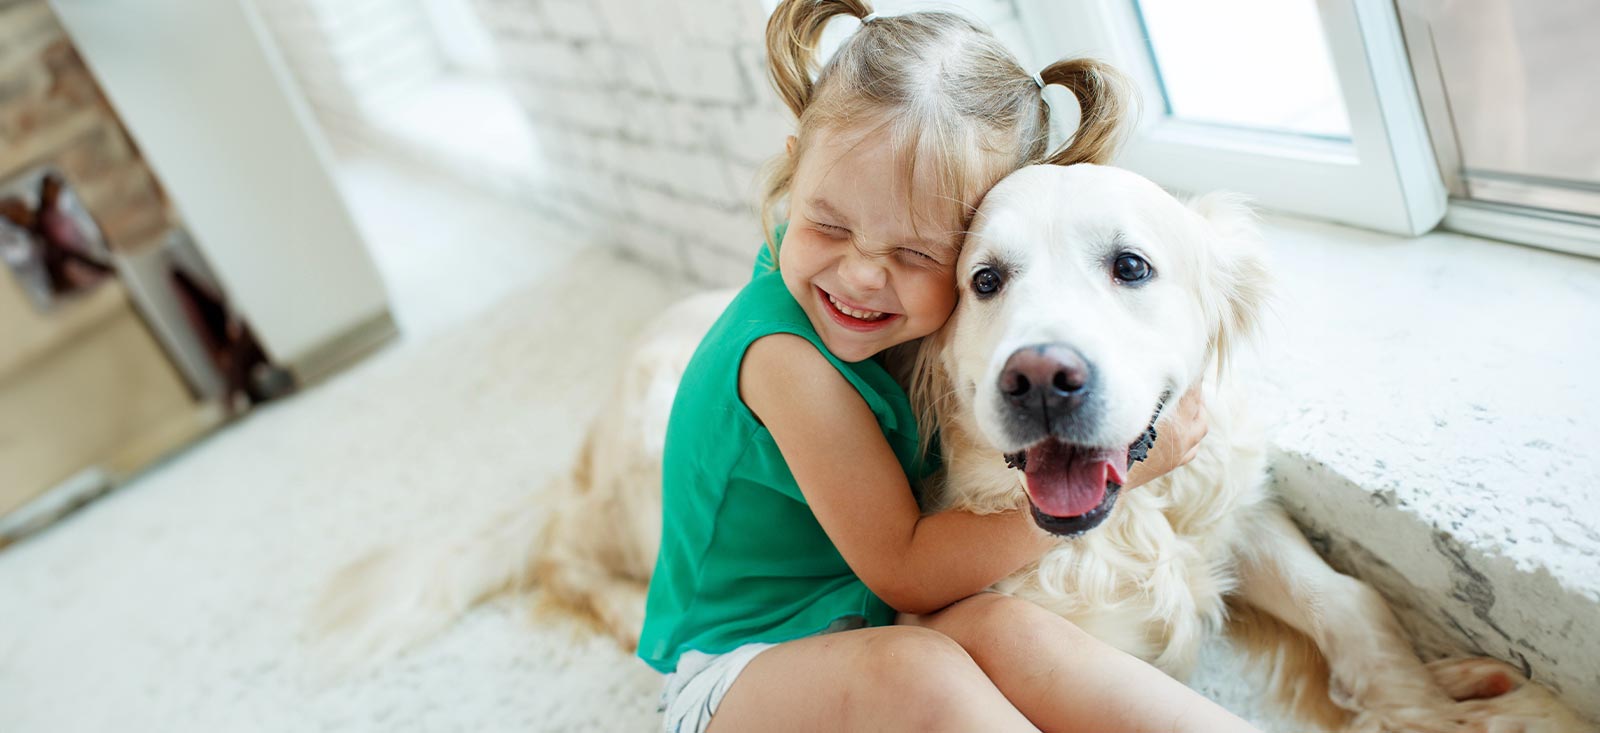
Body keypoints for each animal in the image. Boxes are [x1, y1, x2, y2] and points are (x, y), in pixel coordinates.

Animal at [315, 166, 1587, 733]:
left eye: (1131, 266)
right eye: (985, 280)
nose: (1042, 378)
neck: (1108, 533)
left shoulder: (1215, 499)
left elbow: (1345, 600)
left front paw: (1442, 705)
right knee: (582, 567)